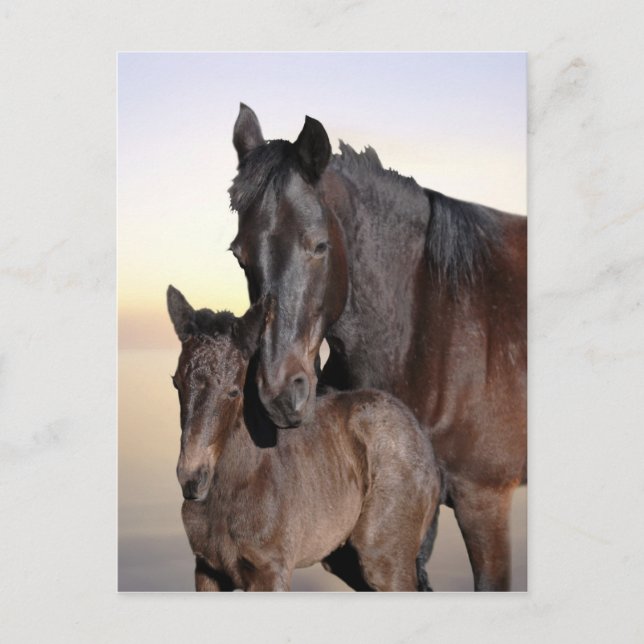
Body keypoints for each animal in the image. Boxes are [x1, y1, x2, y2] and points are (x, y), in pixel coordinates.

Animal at [167, 285, 441, 592]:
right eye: (176, 382)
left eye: (234, 391)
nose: (191, 479)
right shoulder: (207, 571)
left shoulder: (271, 573)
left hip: (385, 560)